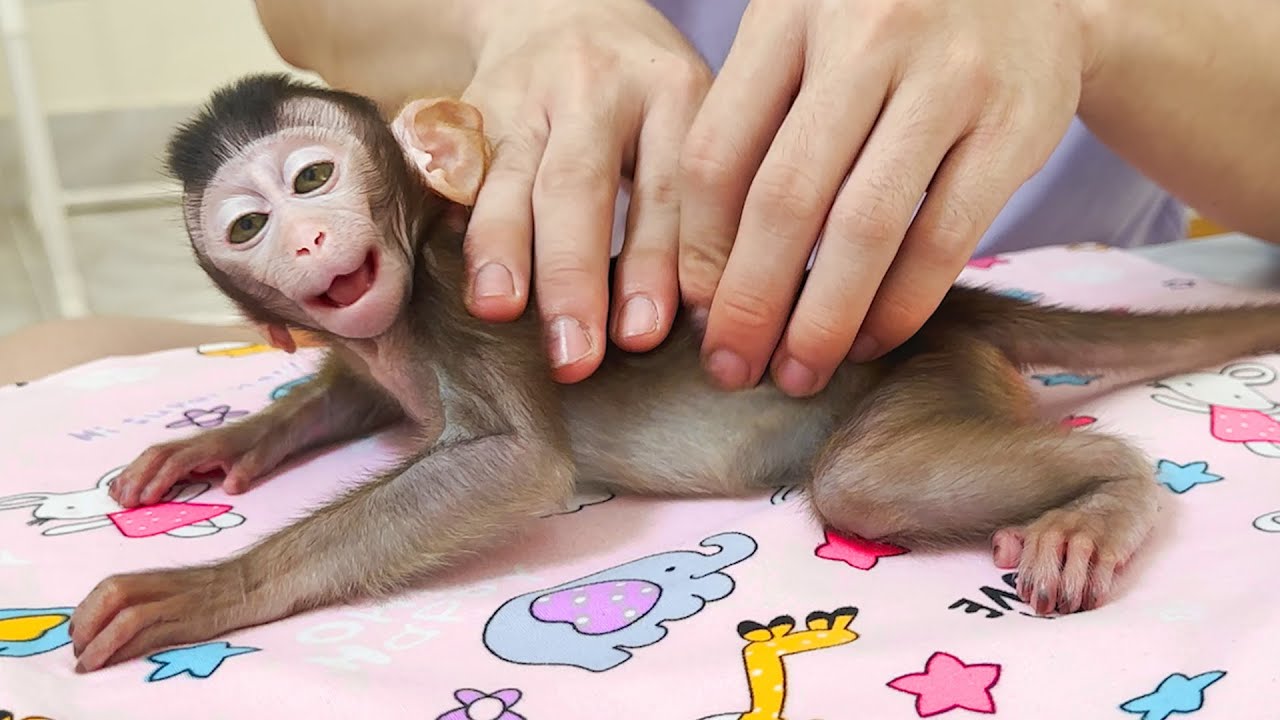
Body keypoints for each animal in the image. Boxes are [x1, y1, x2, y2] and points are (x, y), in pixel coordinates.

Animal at [65, 72, 1280, 673]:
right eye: (249, 224)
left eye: (314, 177)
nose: (311, 239)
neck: (402, 295)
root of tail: (950, 306)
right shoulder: (378, 345)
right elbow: (352, 390)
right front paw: (204, 448)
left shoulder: (459, 293)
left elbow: (514, 466)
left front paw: (207, 587)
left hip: (926, 367)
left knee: (866, 484)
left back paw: (1106, 494)